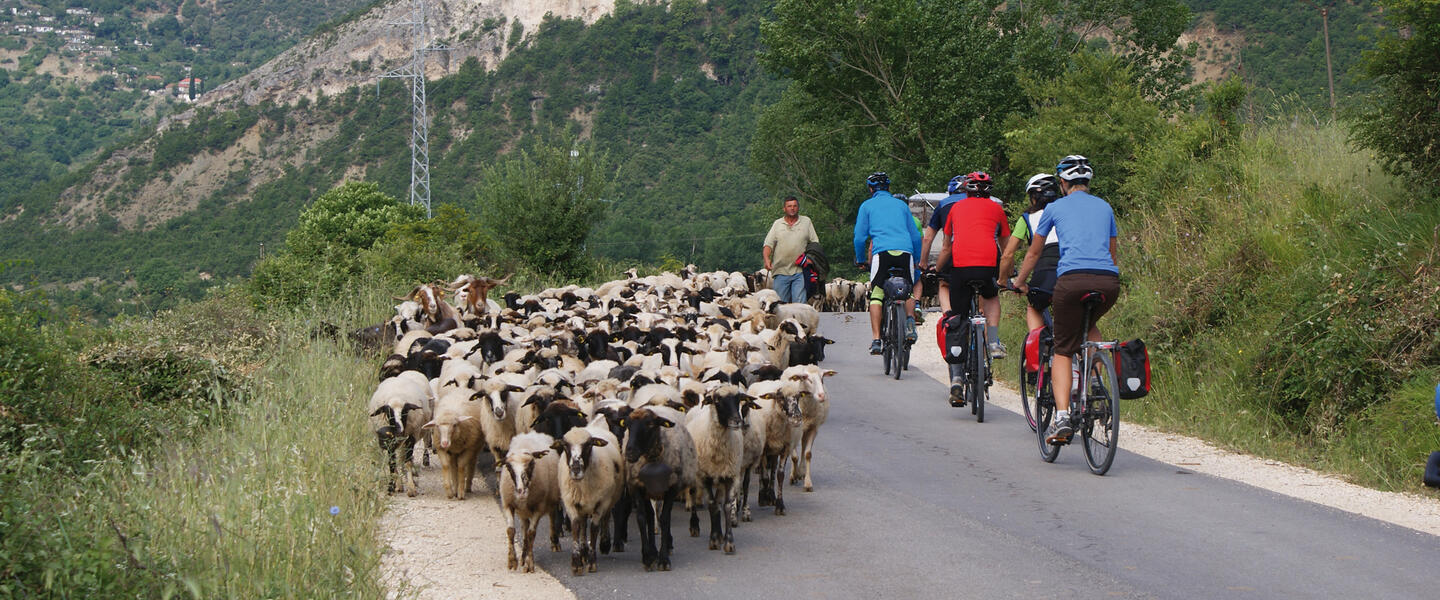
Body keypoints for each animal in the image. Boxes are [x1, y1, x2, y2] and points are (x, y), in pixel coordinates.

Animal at [498, 431, 558, 569]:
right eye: (508, 467)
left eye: (532, 464)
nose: (521, 491)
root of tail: (533, 433)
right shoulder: (507, 504)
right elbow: (511, 531)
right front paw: (512, 561)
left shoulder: (539, 507)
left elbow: (531, 534)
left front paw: (530, 564)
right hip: (522, 511)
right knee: (524, 528)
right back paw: (523, 556)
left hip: (553, 499)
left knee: (553, 516)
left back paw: (555, 543)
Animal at [552, 417, 622, 572]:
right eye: (565, 445)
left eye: (589, 445)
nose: (575, 468)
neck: (582, 485)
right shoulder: (570, 502)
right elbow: (576, 526)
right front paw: (576, 562)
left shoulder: (601, 503)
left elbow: (595, 528)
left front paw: (592, 561)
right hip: (583, 504)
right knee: (583, 524)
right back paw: (583, 550)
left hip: (609, 499)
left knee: (606, 518)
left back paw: (604, 544)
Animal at [624, 405, 696, 566]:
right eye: (628, 425)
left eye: (650, 424)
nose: (630, 451)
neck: (652, 458)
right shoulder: (636, 487)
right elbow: (642, 518)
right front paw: (648, 556)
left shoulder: (672, 488)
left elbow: (664, 518)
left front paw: (663, 559)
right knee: (651, 517)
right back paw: (653, 550)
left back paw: (669, 544)